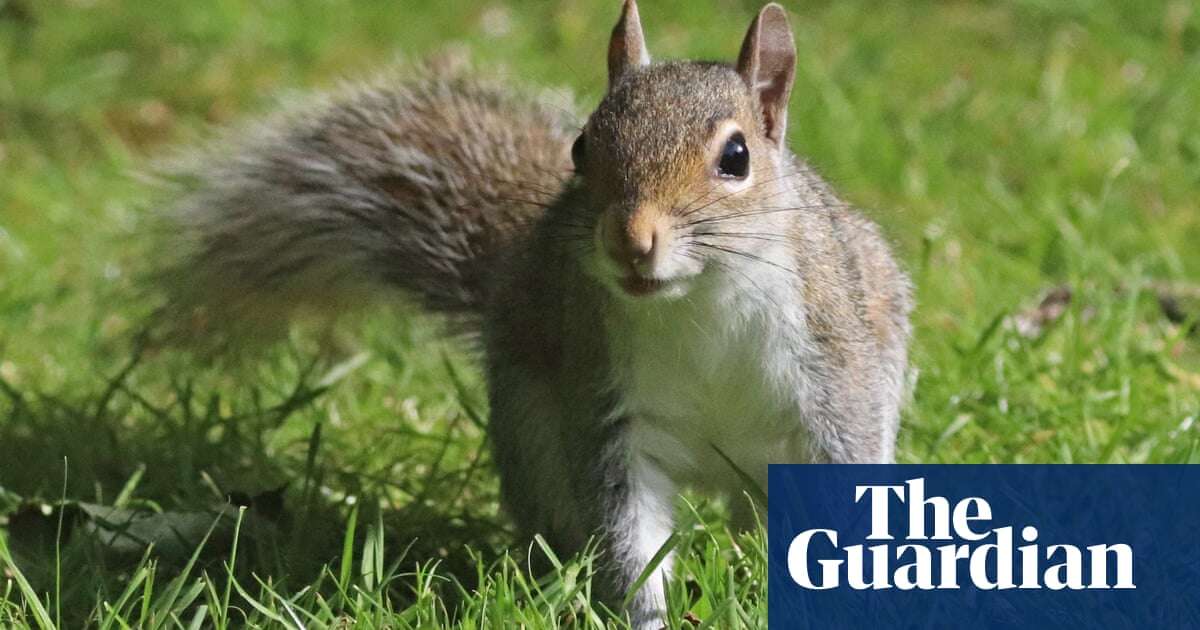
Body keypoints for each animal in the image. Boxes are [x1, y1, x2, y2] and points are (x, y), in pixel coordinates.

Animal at [157, 3, 907, 624]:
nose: (630, 240)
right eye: (581, 148)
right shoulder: (606, 404)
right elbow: (627, 531)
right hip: (533, 434)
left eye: (736, 156)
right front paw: (646, 616)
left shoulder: (834, 370)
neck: (699, 299)